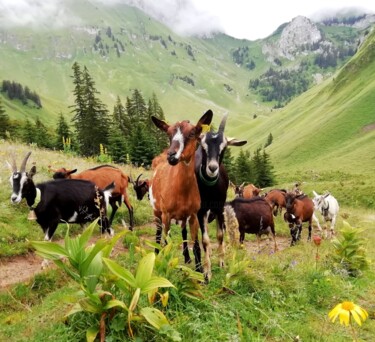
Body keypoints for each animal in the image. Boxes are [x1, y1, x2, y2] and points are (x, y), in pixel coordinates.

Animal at [150, 110, 214, 280]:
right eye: (169, 134)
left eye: (192, 133)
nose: (172, 156)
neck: (181, 192)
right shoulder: (166, 214)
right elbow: (167, 243)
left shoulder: (193, 214)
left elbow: (196, 245)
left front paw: (200, 272)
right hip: (157, 211)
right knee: (158, 232)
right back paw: (156, 253)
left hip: (183, 216)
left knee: (183, 231)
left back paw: (186, 257)